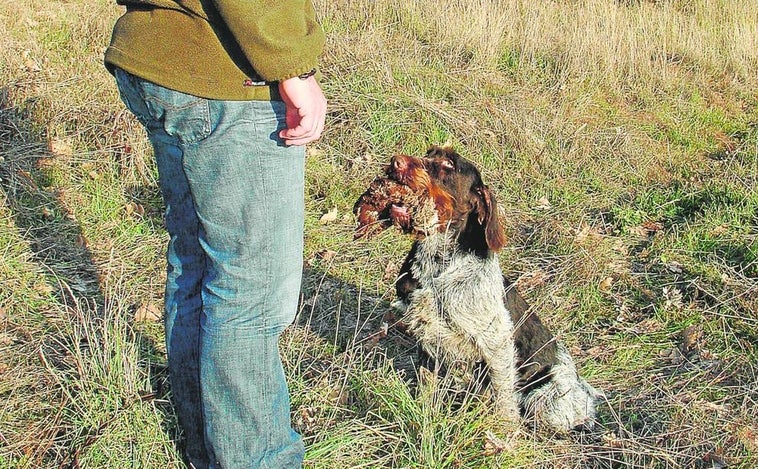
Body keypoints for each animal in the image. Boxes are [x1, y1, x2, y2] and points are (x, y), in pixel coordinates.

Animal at [356, 146, 604, 432]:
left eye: (448, 164)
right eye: (429, 152)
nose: (395, 162)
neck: (437, 267)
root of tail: (586, 391)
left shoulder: (496, 344)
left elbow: (503, 398)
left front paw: (504, 432)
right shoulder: (427, 337)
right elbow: (427, 385)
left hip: (545, 399)